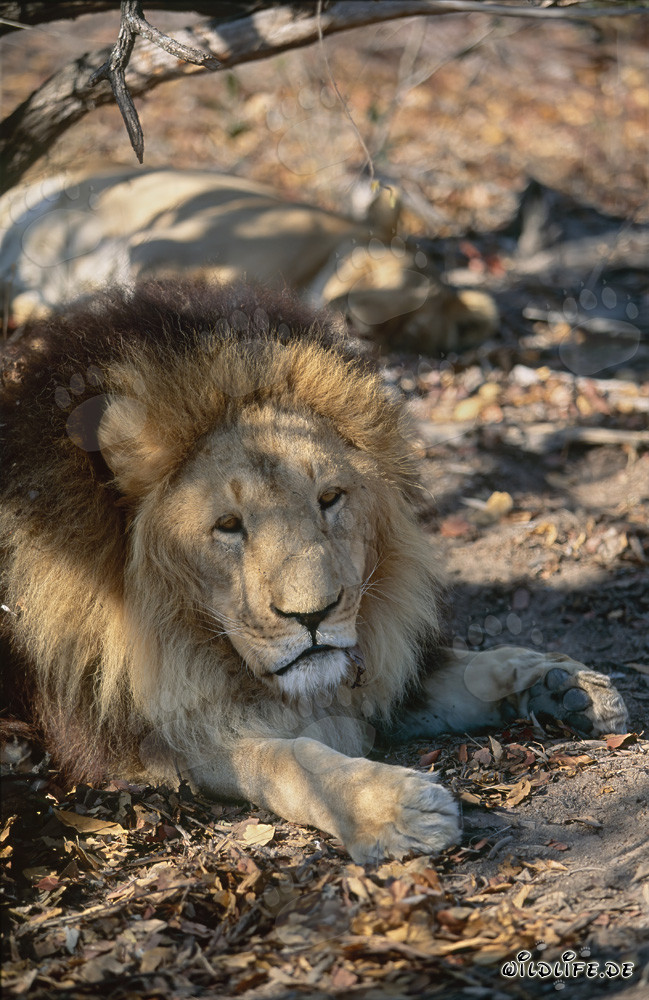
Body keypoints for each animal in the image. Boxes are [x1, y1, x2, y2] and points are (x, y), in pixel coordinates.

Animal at [0, 282, 627, 864]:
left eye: (329, 498)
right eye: (228, 525)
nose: (314, 616)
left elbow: (463, 671)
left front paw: (559, 683)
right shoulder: (161, 745)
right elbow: (289, 760)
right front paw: (392, 809)